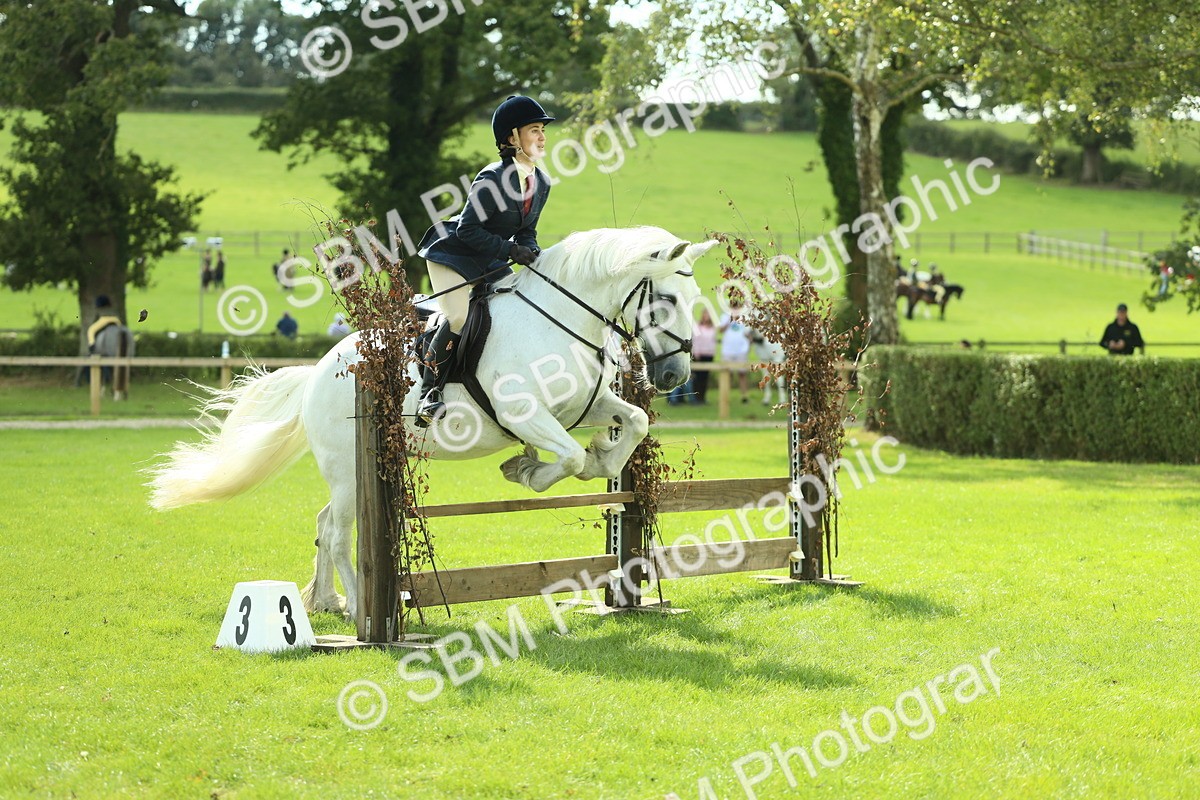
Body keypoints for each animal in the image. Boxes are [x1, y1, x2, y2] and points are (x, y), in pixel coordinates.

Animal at [148, 226, 715, 619]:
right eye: (666, 300)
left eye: (694, 302)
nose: (674, 375)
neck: (564, 320)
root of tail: (318, 373)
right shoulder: (525, 414)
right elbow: (569, 456)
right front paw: (528, 470)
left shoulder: (584, 404)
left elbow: (632, 421)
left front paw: (603, 456)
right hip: (349, 468)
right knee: (338, 532)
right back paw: (359, 609)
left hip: (350, 471)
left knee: (326, 523)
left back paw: (326, 601)